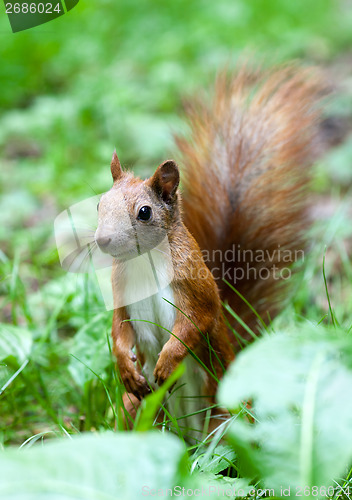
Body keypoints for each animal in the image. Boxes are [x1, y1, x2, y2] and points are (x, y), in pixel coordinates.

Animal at [95, 63, 324, 438]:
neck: (143, 261)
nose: (103, 241)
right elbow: (119, 327)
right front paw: (125, 368)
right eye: (100, 204)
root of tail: (189, 439)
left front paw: (166, 363)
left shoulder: (194, 285)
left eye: (144, 212)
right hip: (135, 411)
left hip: (228, 416)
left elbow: (198, 319)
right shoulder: (122, 293)